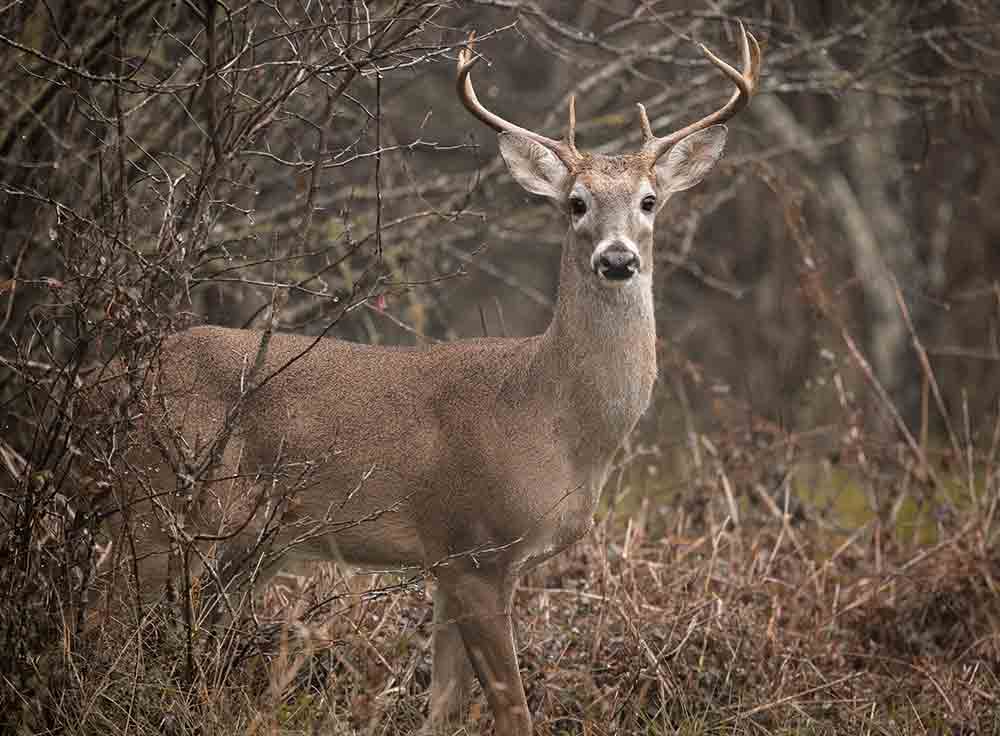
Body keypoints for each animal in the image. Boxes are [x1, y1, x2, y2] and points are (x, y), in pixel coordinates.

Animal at [101, 21, 756, 736]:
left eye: (649, 201)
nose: (617, 259)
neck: (555, 423)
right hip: (159, 497)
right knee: (110, 614)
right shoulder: (473, 544)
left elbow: (444, 703)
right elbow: (509, 704)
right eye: (576, 203)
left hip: (250, 541)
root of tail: (129, 371)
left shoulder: (451, 563)